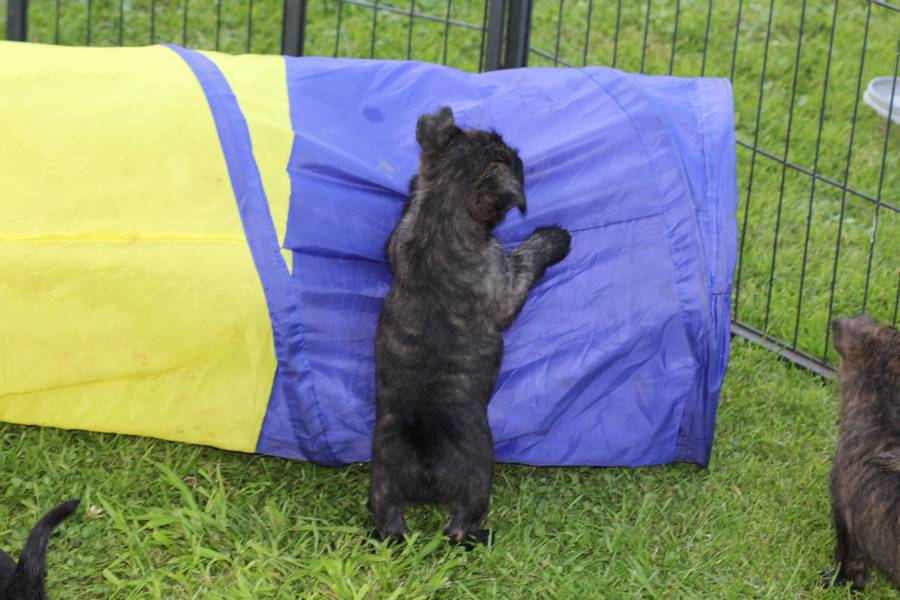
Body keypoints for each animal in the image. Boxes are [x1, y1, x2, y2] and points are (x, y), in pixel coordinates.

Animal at [369, 106, 571, 546]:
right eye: (511, 159)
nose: (521, 155)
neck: (442, 215)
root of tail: (425, 460)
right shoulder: (505, 289)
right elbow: (527, 258)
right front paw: (553, 239)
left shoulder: (398, 240)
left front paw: (414, 185)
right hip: (478, 478)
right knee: (460, 527)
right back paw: (483, 536)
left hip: (382, 487)